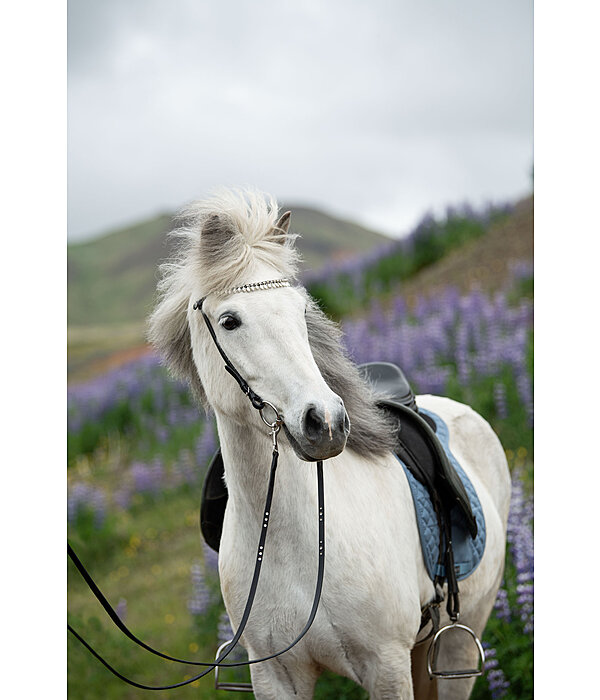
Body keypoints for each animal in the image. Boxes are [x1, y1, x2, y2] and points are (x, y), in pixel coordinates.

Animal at [150, 190, 510, 700]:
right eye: (229, 320)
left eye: (301, 313)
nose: (326, 422)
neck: (295, 540)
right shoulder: (276, 675)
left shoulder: (386, 666)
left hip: (460, 645)